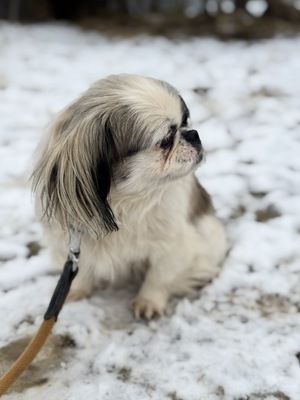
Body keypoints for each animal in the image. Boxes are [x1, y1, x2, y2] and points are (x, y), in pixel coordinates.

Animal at [31, 74, 226, 318]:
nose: (193, 134)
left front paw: (148, 301)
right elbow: (82, 271)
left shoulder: (175, 246)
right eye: (165, 141)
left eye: (185, 121)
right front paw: (76, 290)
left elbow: (159, 277)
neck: (125, 202)